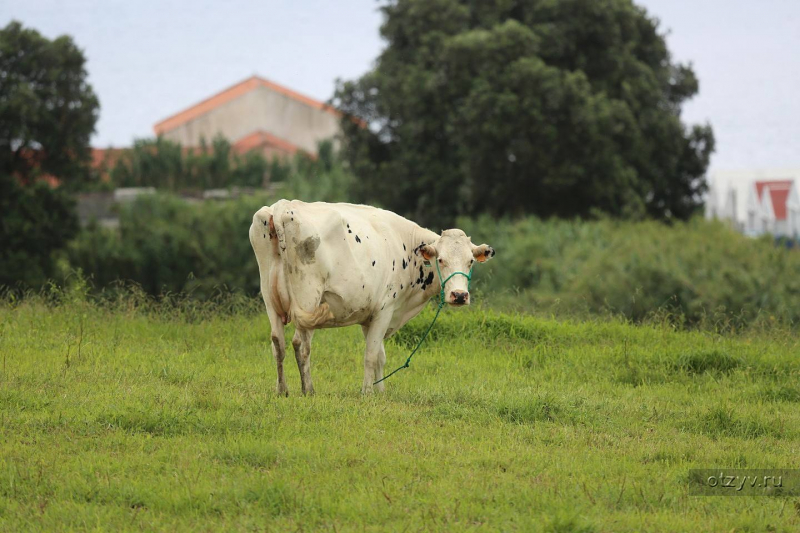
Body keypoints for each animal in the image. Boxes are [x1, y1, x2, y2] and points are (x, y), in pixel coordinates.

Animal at [247, 197, 494, 392]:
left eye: (470, 261)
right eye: (440, 259)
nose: (459, 295)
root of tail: (283, 207)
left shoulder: (371, 316)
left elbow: (380, 356)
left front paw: (380, 390)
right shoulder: (385, 309)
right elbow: (371, 355)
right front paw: (367, 392)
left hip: (269, 299)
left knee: (277, 342)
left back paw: (282, 390)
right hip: (307, 299)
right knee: (301, 344)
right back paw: (308, 390)